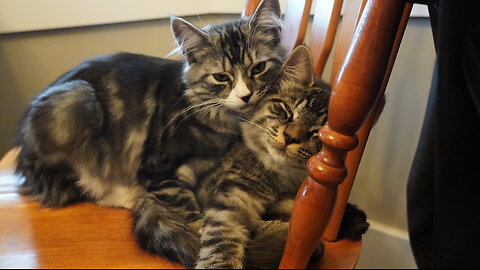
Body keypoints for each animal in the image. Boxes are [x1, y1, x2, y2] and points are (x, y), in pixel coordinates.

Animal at [14, 0, 284, 266]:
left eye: (258, 68)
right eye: (221, 77)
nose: (245, 95)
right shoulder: (158, 169)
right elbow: (190, 211)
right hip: (75, 100)